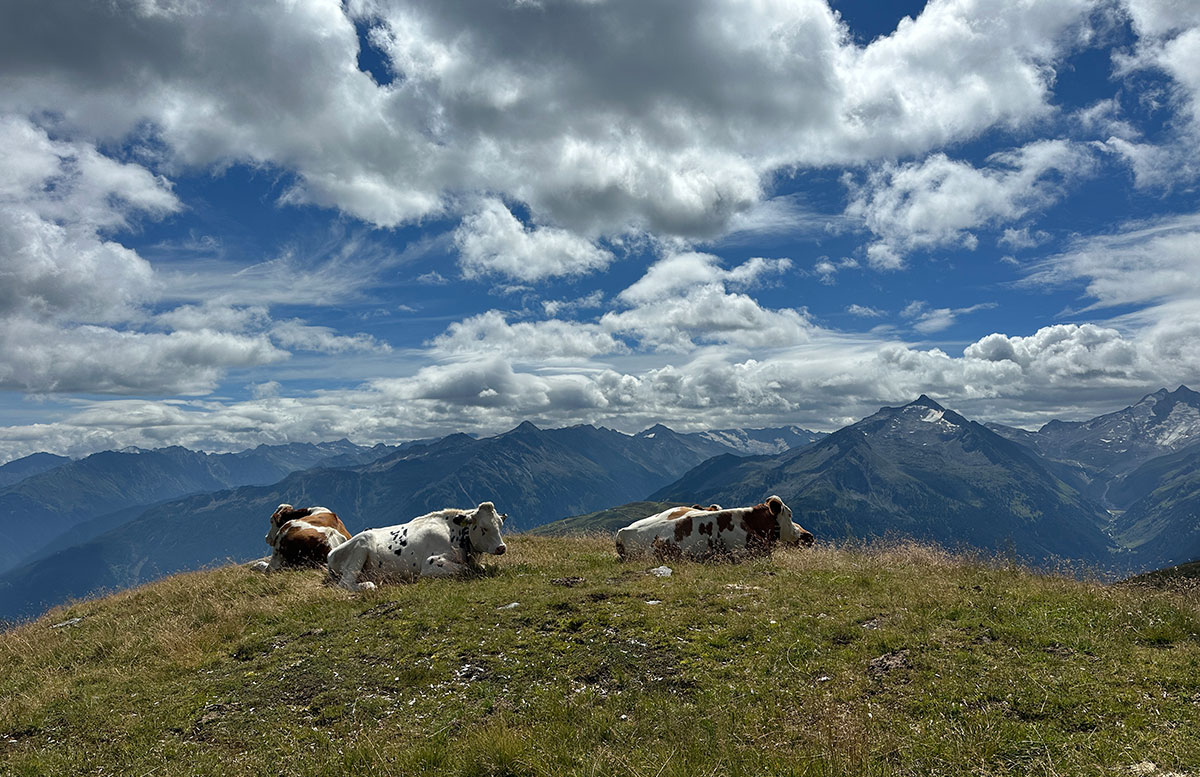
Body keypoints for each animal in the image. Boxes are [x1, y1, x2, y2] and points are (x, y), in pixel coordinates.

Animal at [324, 501, 506, 592]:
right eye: (483, 528)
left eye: (500, 524)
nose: (501, 547)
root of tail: (330, 554)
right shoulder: (430, 562)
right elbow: (465, 569)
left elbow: (479, 567)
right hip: (362, 544)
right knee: (345, 583)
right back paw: (368, 585)